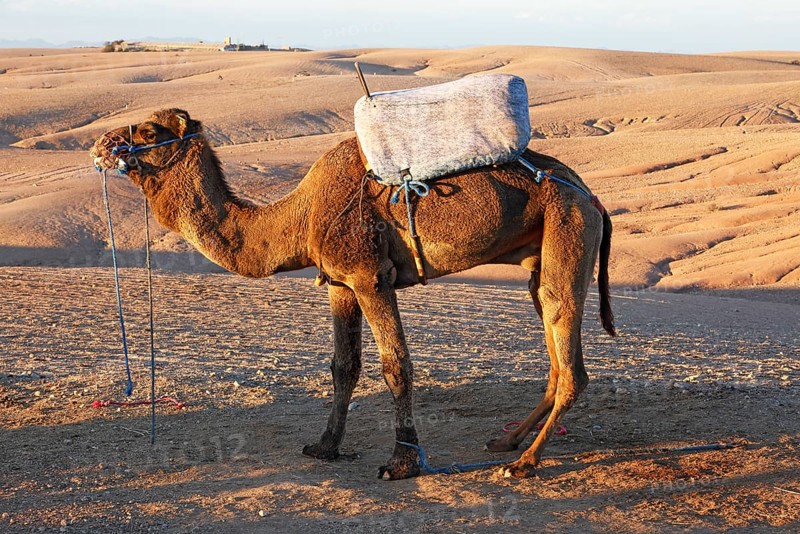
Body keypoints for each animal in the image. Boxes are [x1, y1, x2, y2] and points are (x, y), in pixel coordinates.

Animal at [90, 108, 616, 480]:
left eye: (149, 131)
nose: (100, 144)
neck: (298, 216)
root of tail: (591, 194)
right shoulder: (340, 283)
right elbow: (344, 366)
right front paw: (325, 446)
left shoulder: (369, 275)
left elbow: (396, 365)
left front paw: (403, 462)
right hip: (540, 251)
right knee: (552, 344)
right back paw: (507, 443)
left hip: (568, 223)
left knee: (569, 349)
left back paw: (523, 464)